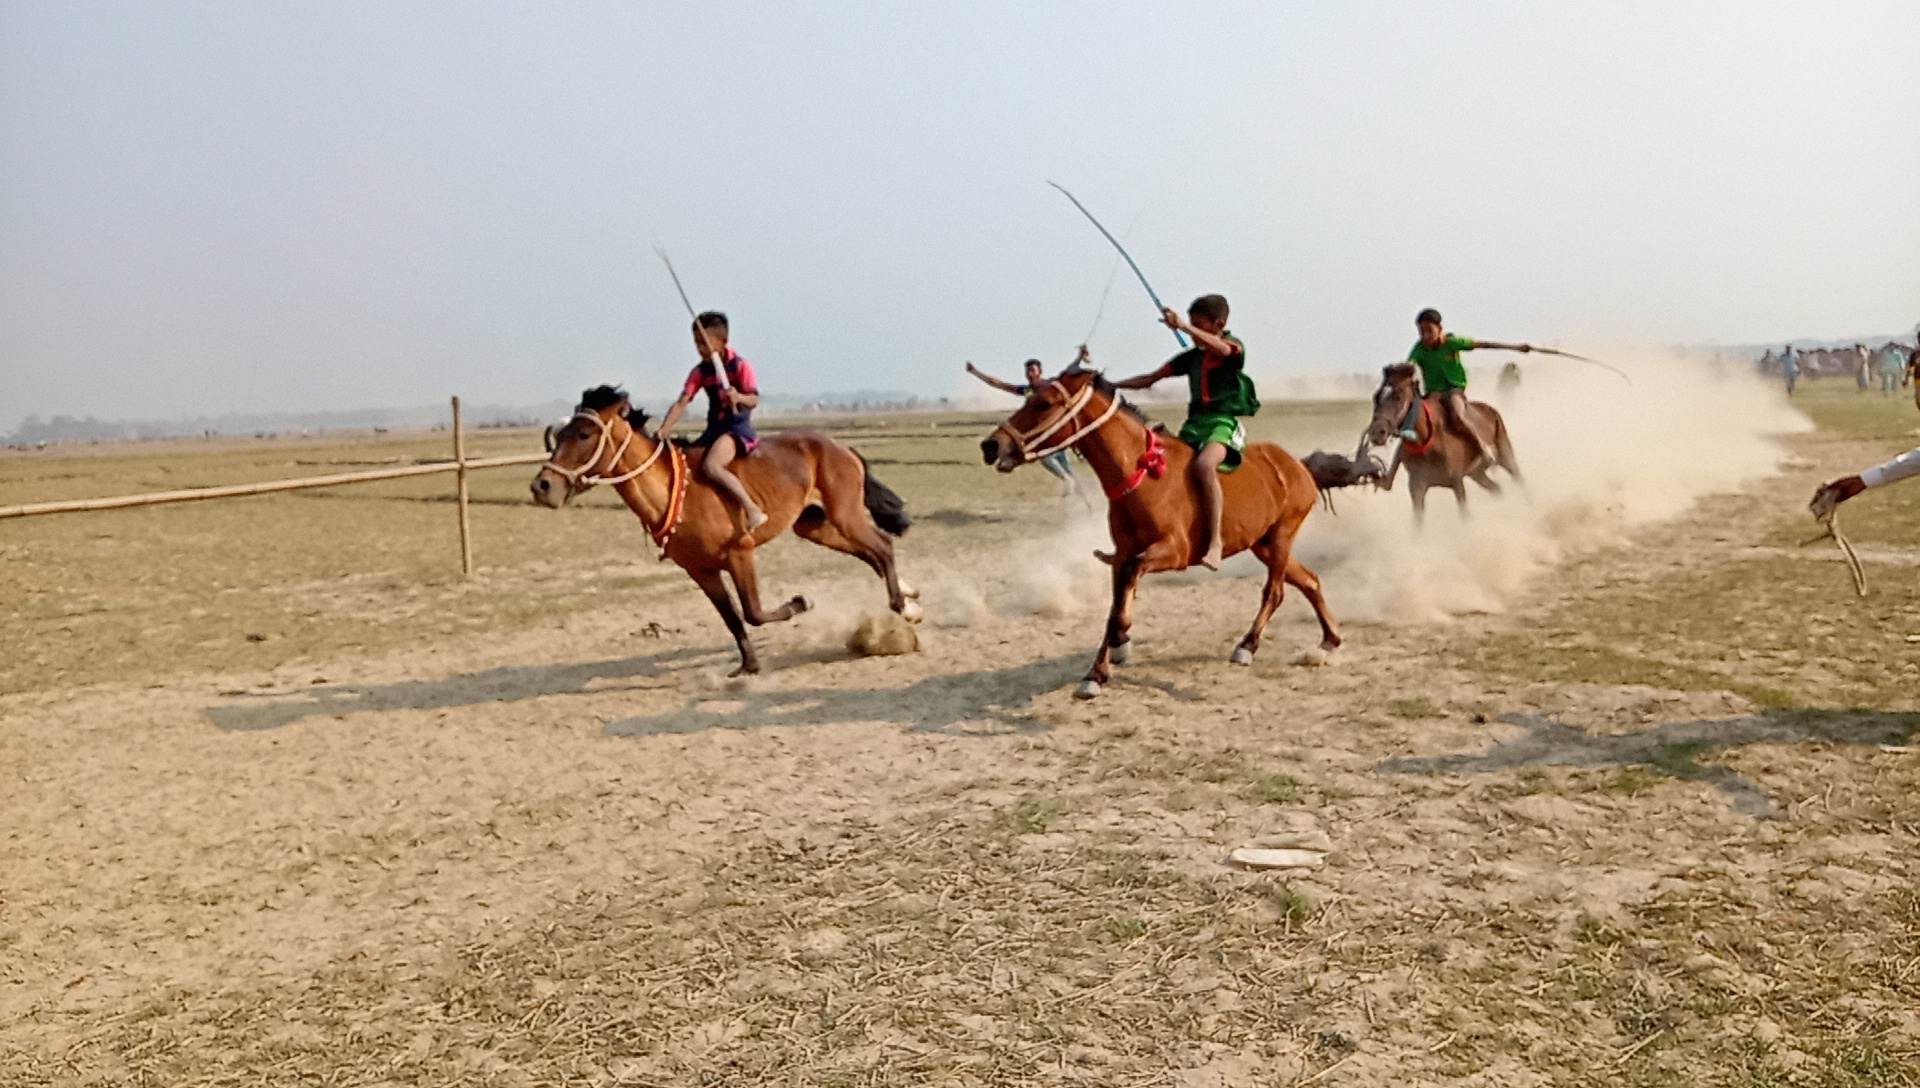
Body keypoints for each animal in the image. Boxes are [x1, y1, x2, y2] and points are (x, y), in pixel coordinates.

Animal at [526, 383, 913, 671]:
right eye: (561, 433)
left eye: (584, 433)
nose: (542, 486)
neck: (676, 494)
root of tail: (840, 446)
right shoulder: (701, 570)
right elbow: (732, 618)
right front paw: (749, 666)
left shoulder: (740, 554)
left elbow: (753, 612)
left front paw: (798, 603)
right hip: (813, 525)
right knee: (871, 550)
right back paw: (909, 597)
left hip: (845, 514)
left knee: (881, 546)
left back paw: (902, 605)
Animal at [983, 370, 1344, 702]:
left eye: (1043, 403)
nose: (991, 445)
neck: (1144, 475)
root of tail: (1297, 465)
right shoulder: (1123, 555)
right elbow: (1114, 607)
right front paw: (1097, 672)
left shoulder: (1172, 553)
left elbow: (1125, 596)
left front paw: (1120, 641)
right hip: (1263, 544)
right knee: (1309, 580)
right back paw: (1329, 641)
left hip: (1282, 535)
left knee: (1275, 591)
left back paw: (1248, 645)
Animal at [1359, 362, 1520, 521]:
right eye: (1376, 397)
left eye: (1398, 396)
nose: (1376, 432)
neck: (1427, 441)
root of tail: (1491, 410)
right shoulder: (1417, 486)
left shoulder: (1457, 482)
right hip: (1477, 473)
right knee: (1497, 488)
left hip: (1505, 456)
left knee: (1518, 479)